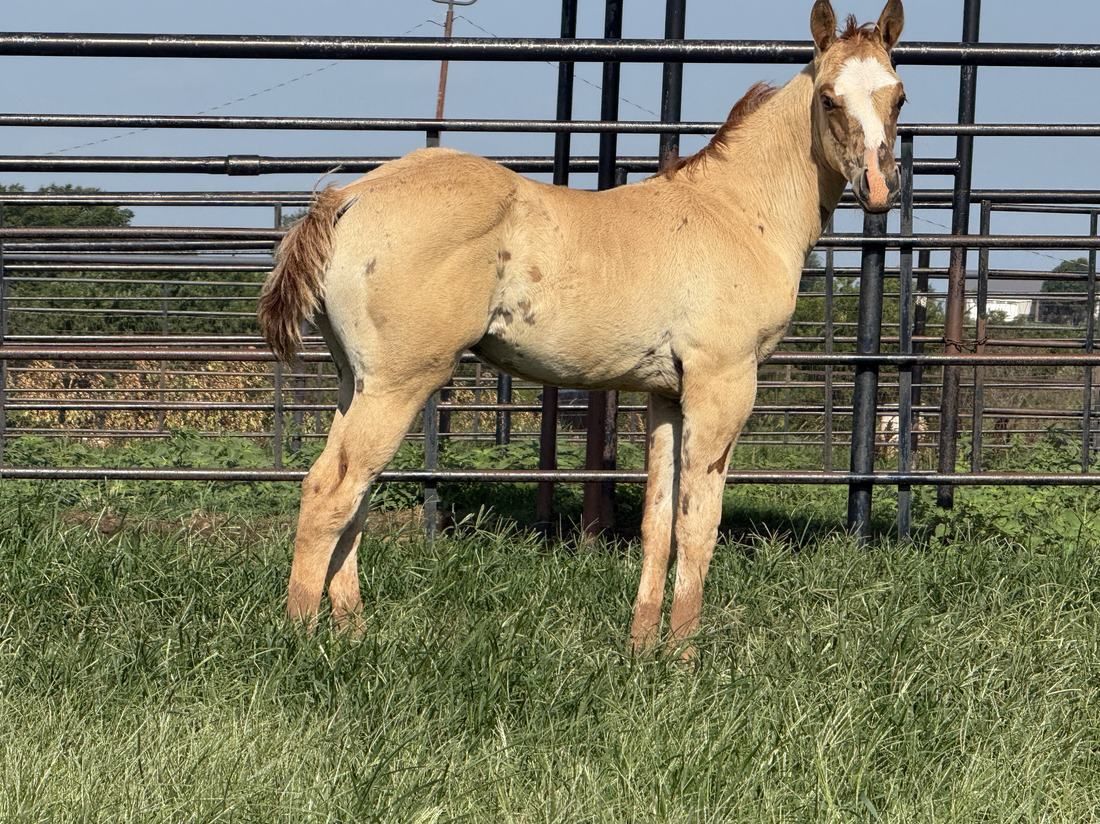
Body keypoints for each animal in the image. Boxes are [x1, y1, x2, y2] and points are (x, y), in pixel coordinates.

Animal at [258, 0, 908, 656]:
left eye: (898, 95)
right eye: (828, 98)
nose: (880, 189)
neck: (736, 213)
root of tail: (349, 197)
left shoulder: (667, 397)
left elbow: (658, 521)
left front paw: (643, 647)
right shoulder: (722, 385)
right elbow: (699, 522)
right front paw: (685, 655)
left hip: (357, 383)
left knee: (354, 496)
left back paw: (354, 634)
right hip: (399, 384)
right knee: (330, 492)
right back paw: (302, 641)